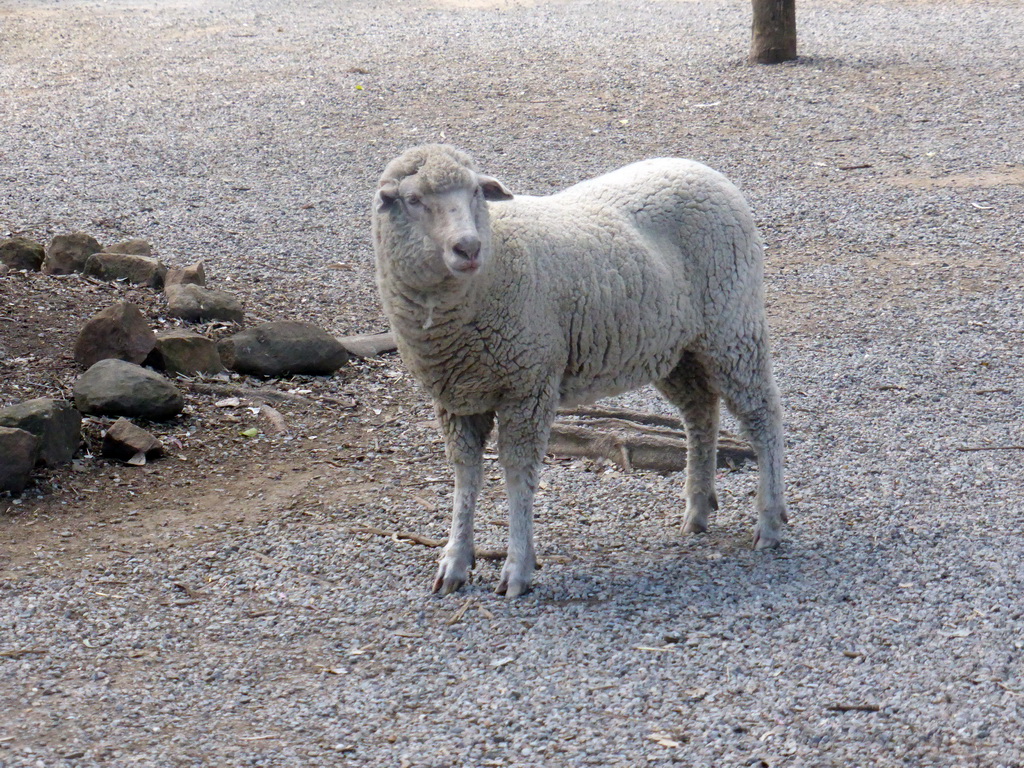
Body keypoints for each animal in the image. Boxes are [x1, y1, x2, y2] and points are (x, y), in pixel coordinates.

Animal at [372, 145, 786, 602]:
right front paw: (455, 562)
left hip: (732, 326)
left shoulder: (529, 385)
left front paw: (517, 569)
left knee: (763, 416)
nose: (468, 248)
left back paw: (769, 520)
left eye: (476, 193)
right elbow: (466, 476)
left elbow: (518, 473)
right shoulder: (456, 397)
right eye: (413, 200)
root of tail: (705, 171)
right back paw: (697, 508)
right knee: (701, 413)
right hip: (676, 348)